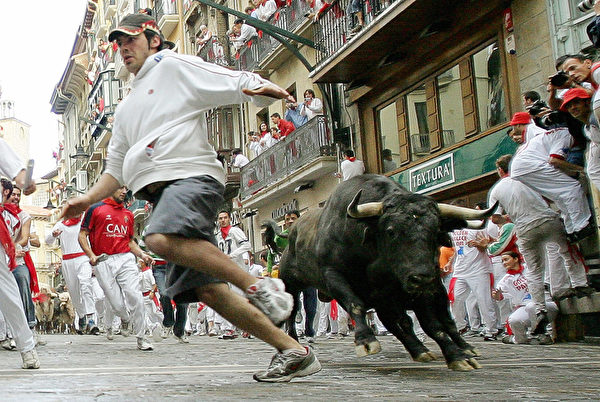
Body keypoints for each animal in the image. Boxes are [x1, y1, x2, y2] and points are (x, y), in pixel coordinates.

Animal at [274, 174, 496, 372]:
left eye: (435, 232)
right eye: (391, 231)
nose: (421, 277)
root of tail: (291, 232)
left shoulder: (411, 292)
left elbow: (433, 325)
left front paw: (458, 356)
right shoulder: (334, 274)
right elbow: (356, 304)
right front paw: (365, 340)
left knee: (442, 321)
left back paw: (457, 348)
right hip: (291, 284)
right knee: (292, 313)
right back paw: (293, 340)